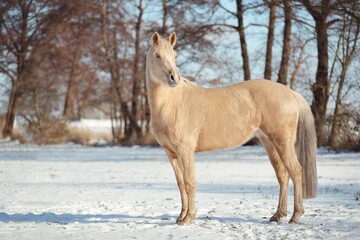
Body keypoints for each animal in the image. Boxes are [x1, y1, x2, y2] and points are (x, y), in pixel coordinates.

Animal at [145, 31, 316, 225]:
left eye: (175, 56)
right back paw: (278, 215)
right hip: (270, 144)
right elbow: (180, 183)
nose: (174, 78)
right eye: (157, 56)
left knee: (296, 171)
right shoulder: (171, 153)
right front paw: (180, 217)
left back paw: (295, 215)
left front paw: (189, 217)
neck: (173, 102)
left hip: (283, 143)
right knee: (283, 175)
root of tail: (291, 93)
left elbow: (189, 182)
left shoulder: (185, 150)